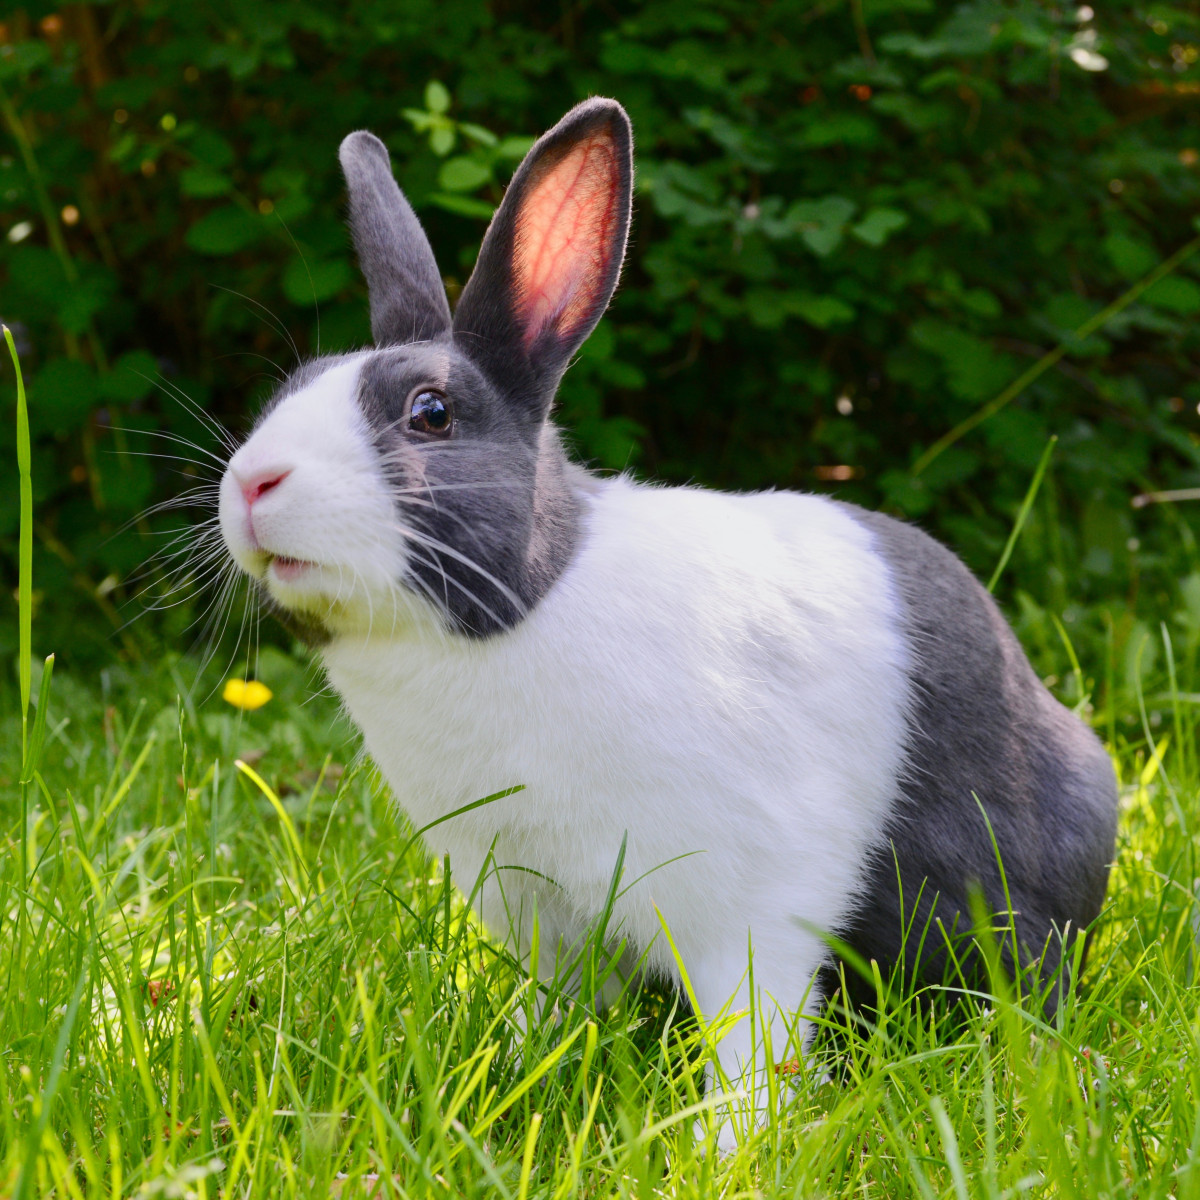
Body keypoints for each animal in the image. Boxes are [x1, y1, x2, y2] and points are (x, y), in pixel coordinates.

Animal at [217, 97, 1119, 1150]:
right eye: (290, 390)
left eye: (430, 412)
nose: (252, 483)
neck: (525, 609)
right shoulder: (532, 902)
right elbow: (553, 1008)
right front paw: (515, 1076)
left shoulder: (746, 901)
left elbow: (754, 1030)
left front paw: (730, 1147)